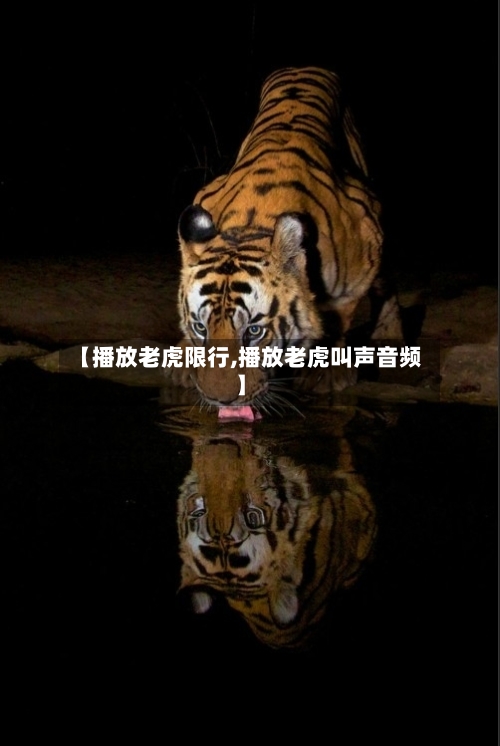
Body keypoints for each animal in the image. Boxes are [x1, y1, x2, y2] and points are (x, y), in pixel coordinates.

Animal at [176, 66, 401, 419]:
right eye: (202, 328)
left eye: (254, 332)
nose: (220, 401)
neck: (251, 226)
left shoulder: (365, 246)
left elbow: (341, 314)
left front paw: (325, 373)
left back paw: (390, 337)